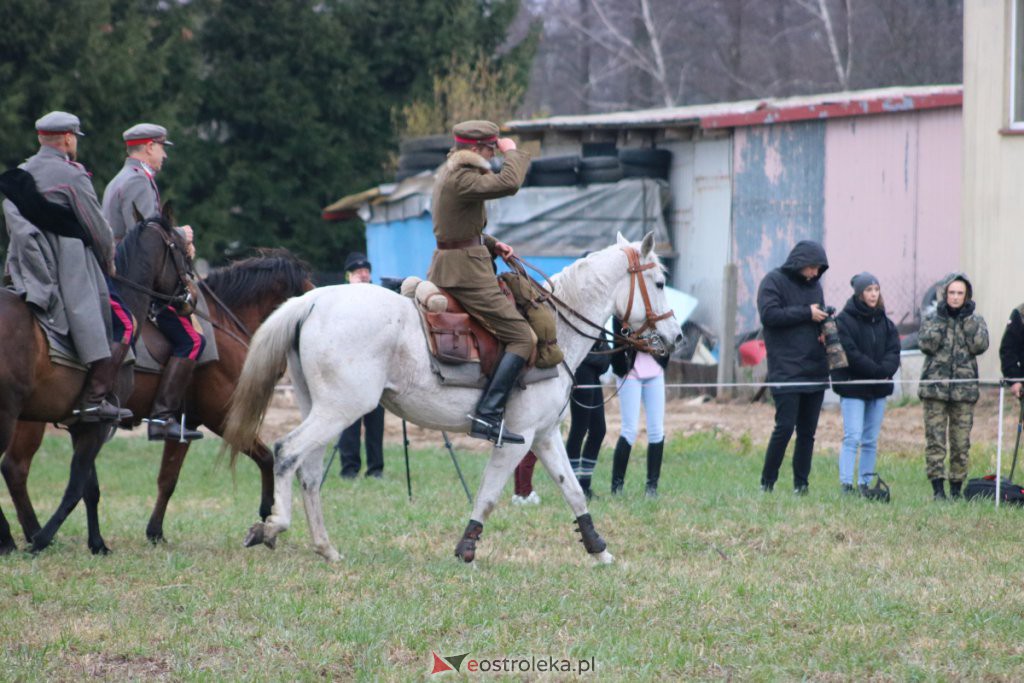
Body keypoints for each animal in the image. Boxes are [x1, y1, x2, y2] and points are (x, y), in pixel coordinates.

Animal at [0, 214, 190, 557]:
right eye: (182, 250)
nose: (189, 299)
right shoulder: (97, 426)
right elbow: (76, 486)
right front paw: (42, 540)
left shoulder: (84, 426)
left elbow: (91, 488)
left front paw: (97, 544)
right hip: (8, 416)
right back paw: (11, 538)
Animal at [0, 248, 311, 548]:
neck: (224, 327)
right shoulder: (222, 419)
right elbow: (266, 458)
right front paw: (266, 514)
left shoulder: (184, 425)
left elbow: (167, 479)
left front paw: (155, 532)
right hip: (28, 418)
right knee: (15, 468)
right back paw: (30, 535)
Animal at [228, 232, 684, 565]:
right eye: (661, 282)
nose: (676, 337)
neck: (554, 326)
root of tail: (314, 298)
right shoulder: (517, 437)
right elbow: (488, 495)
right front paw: (467, 548)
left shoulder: (544, 436)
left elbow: (572, 490)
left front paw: (599, 550)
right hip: (340, 411)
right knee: (287, 452)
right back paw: (272, 526)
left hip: (324, 410)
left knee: (308, 473)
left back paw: (325, 548)